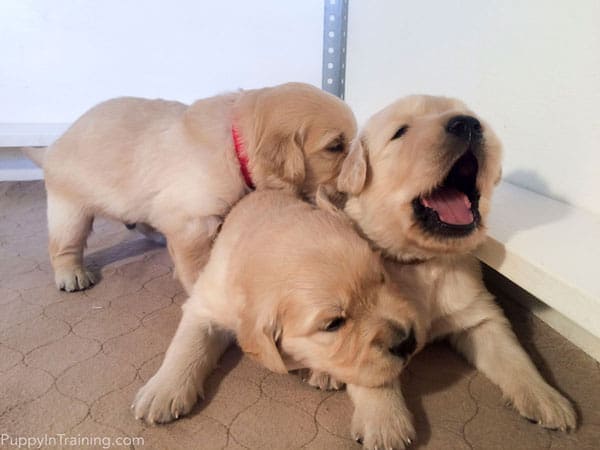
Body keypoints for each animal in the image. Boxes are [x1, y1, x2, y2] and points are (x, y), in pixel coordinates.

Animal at [25, 82, 356, 296]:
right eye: (334, 147)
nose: (352, 187)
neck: (235, 145)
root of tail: (53, 146)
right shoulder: (193, 221)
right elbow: (197, 262)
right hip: (69, 208)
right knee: (64, 244)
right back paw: (71, 274)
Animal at [132, 188, 422, 444]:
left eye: (382, 278)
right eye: (333, 324)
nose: (408, 342)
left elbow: (374, 374)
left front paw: (385, 418)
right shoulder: (206, 303)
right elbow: (187, 344)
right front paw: (162, 390)